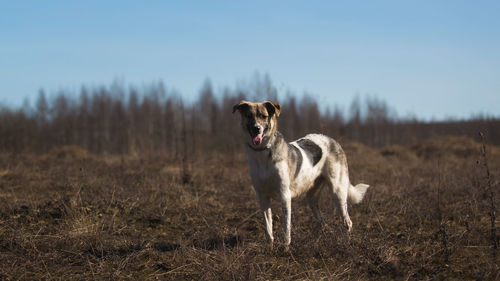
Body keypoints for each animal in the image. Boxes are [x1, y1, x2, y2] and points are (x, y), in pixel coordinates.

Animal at [232, 100, 370, 247]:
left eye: (263, 116)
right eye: (249, 116)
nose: (256, 128)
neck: (262, 153)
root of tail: (333, 140)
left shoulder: (284, 195)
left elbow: (286, 226)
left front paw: (285, 247)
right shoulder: (262, 197)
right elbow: (268, 228)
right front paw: (269, 248)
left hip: (338, 192)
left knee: (347, 221)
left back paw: (346, 241)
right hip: (312, 197)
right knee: (322, 221)